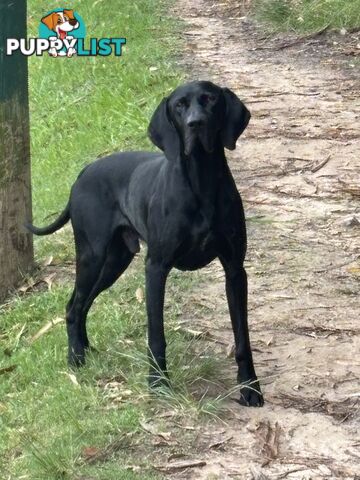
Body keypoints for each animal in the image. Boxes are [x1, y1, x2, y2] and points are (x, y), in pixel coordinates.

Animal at [27, 81, 264, 404]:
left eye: (210, 99)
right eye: (179, 105)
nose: (196, 123)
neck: (200, 180)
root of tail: (83, 173)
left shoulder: (235, 270)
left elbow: (243, 336)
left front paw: (250, 387)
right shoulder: (156, 268)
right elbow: (156, 335)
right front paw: (158, 382)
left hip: (114, 262)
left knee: (82, 304)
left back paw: (86, 350)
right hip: (92, 256)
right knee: (74, 306)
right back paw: (76, 358)